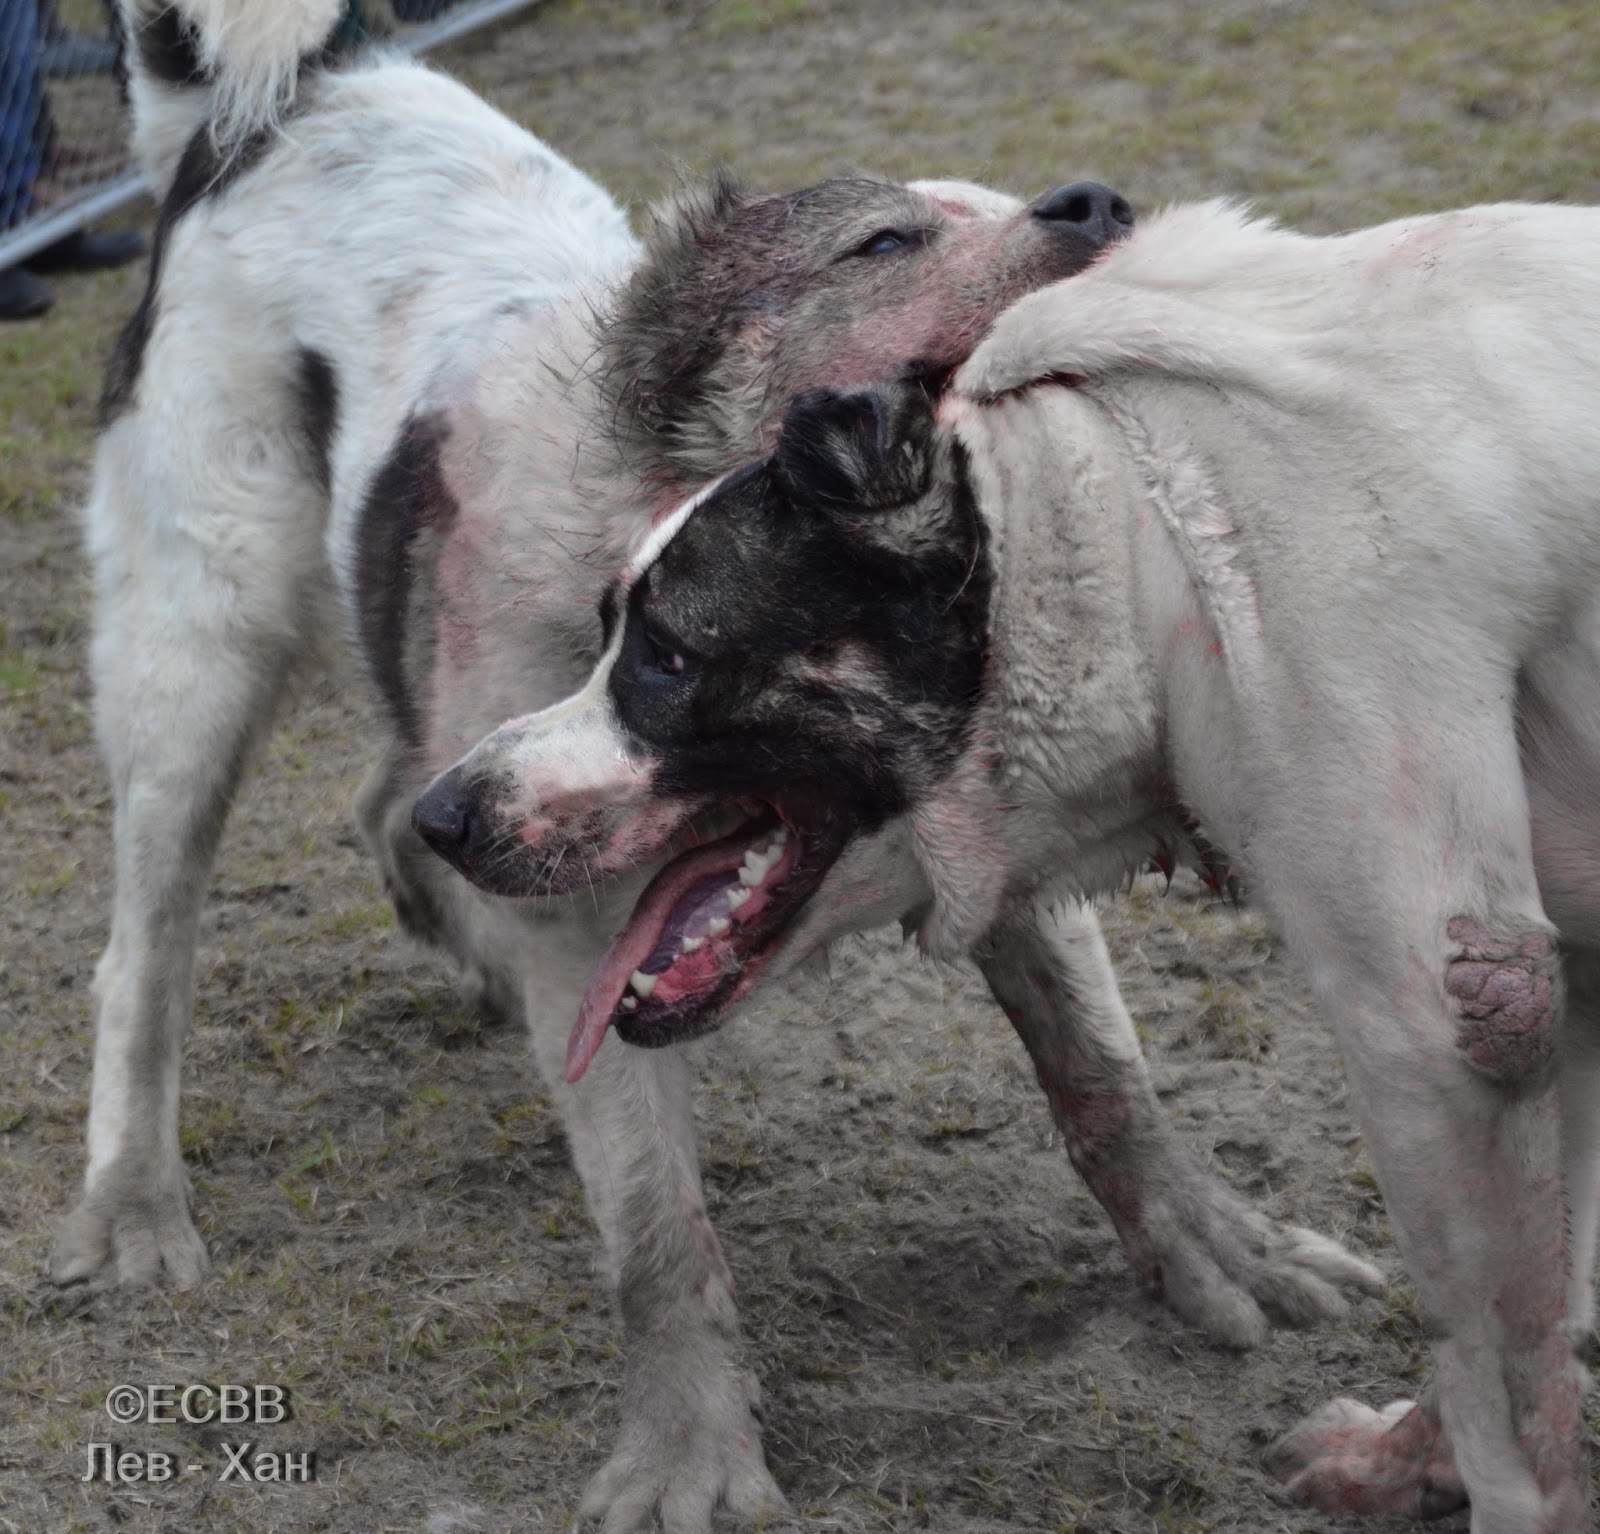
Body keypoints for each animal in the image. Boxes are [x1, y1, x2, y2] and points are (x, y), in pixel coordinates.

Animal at [71, 5, 1379, 1522]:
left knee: (386, 794)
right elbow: (659, 1232)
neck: (650, 507)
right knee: (147, 948)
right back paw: (132, 1202)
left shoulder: (995, 826)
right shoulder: (587, 926)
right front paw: (687, 1453)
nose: (1102, 203)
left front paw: (1219, 1249)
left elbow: (1103, 1070)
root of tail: (276, 108)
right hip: (192, 658)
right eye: (883, 242)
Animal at [415, 198, 1600, 1531]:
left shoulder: (1436, 1027)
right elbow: (1536, 1317)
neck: (1142, 519)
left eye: (664, 654)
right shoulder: (1559, 996)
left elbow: (1503, 1395)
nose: (440, 814)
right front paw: (1406, 1462)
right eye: (603, 626)